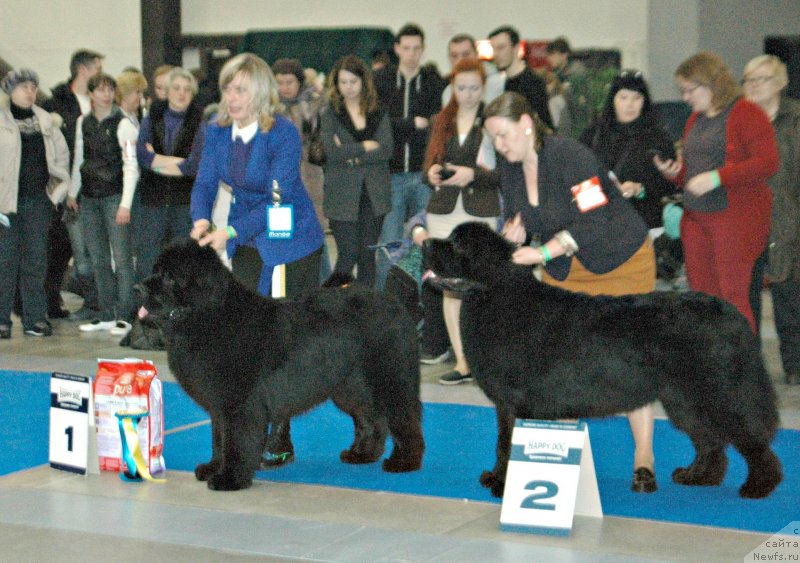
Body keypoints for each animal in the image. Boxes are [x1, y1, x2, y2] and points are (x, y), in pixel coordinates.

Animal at [138, 241, 424, 490]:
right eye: (155, 270)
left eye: (169, 278)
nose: (138, 288)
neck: (210, 316)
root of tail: (395, 304)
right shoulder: (219, 405)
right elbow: (219, 438)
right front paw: (213, 468)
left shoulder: (239, 404)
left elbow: (236, 441)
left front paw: (230, 478)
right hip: (353, 386)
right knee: (372, 418)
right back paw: (363, 454)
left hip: (389, 378)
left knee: (404, 418)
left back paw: (404, 462)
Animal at [424, 223, 780, 500]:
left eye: (457, 244)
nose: (425, 241)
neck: (495, 294)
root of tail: (733, 314)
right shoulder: (509, 404)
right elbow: (504, 443)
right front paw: (498, 478)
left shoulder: (512, 402)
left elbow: (506, 443)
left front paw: (501, 485)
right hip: (685, 400)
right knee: (709, 439)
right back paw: (698, 476)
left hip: (720, 394)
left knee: (750, 436)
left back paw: (759, 486)